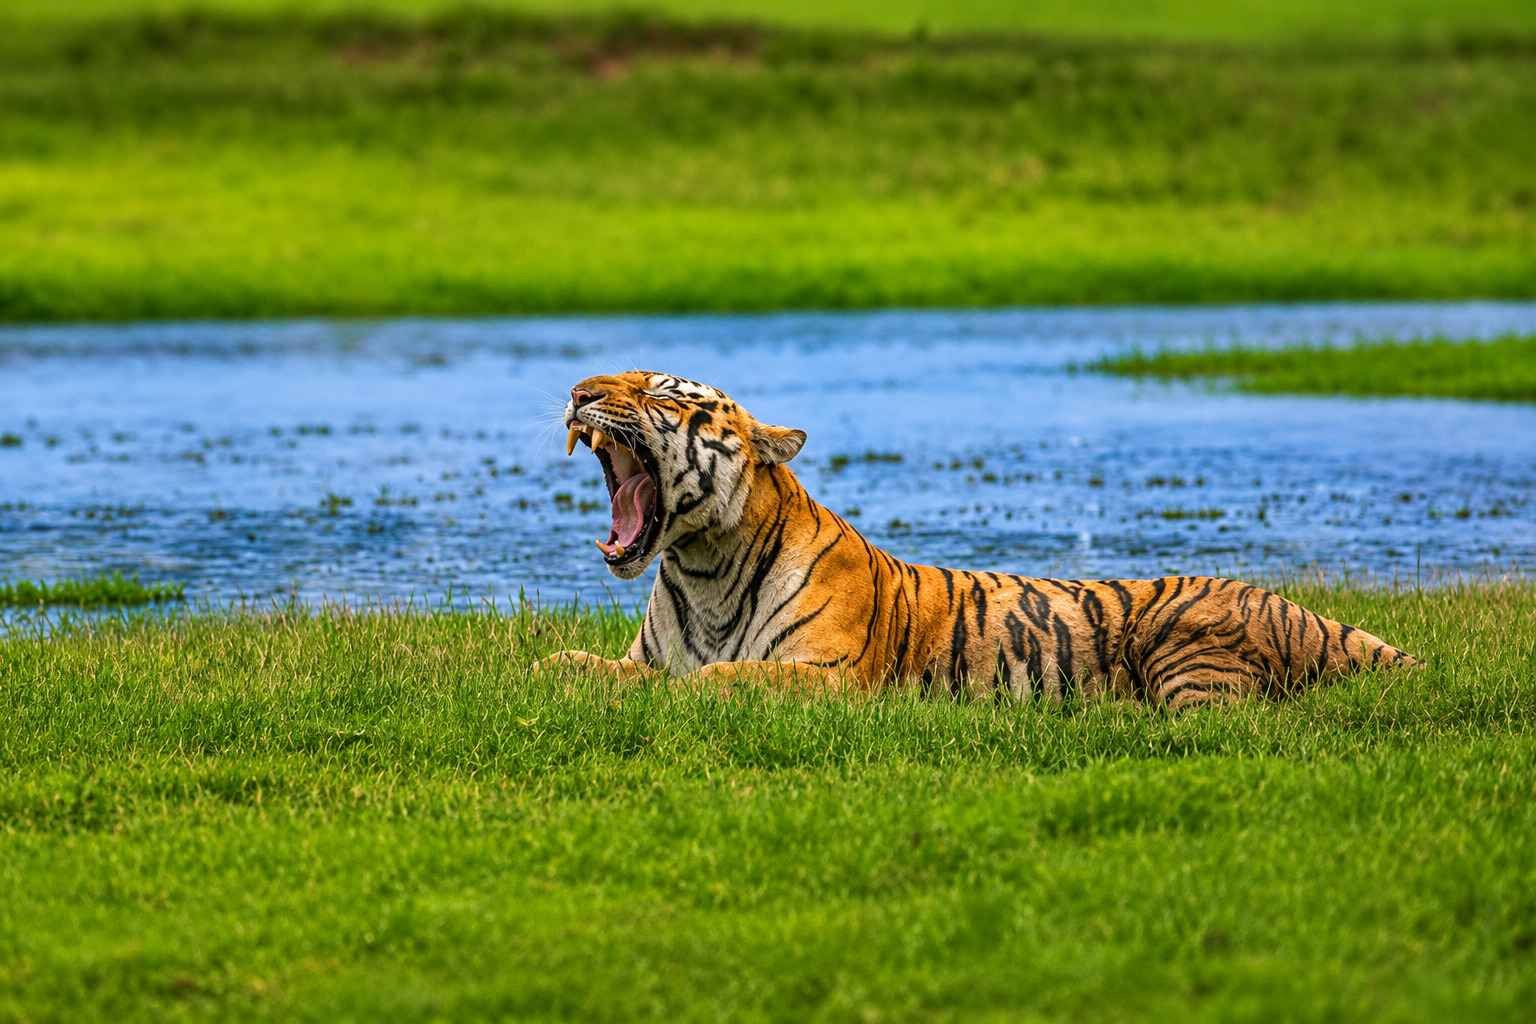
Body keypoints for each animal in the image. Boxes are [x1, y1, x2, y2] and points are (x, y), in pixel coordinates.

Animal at [536, 370, 1417, 707]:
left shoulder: (828, 677)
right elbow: (570, 664)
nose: (578, 391)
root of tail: (1299, 608)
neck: (702, 567)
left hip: (1185, 656)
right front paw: (552, 673)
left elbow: (717, 679)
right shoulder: (641, 655)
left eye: (662, 394)